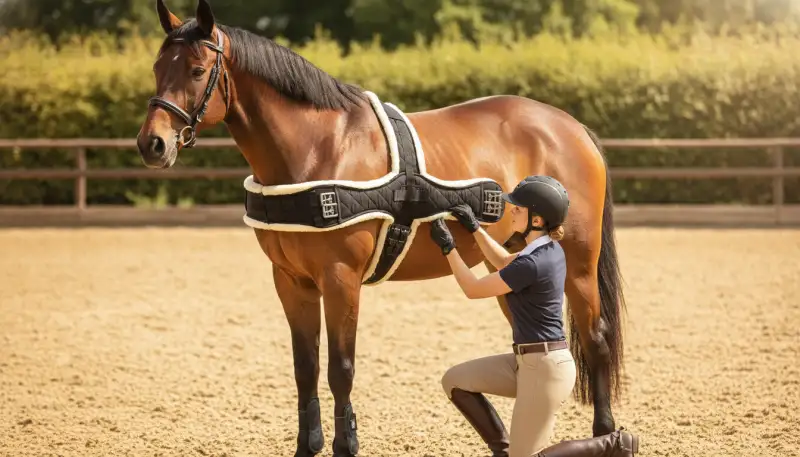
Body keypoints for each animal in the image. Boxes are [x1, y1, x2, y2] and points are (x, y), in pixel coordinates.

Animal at [136, 1, 628, 455]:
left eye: (197, 70)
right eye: (157, 67)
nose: (152, 144)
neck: (317, 149)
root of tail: (570, 126)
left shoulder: (340, 279)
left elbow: (341, 368)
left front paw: (346, 443)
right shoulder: (291, 281)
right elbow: (305, 368)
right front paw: (307, 445)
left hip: (578, 265)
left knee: (595, 338)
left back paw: (606, 432)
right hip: (506, 267)